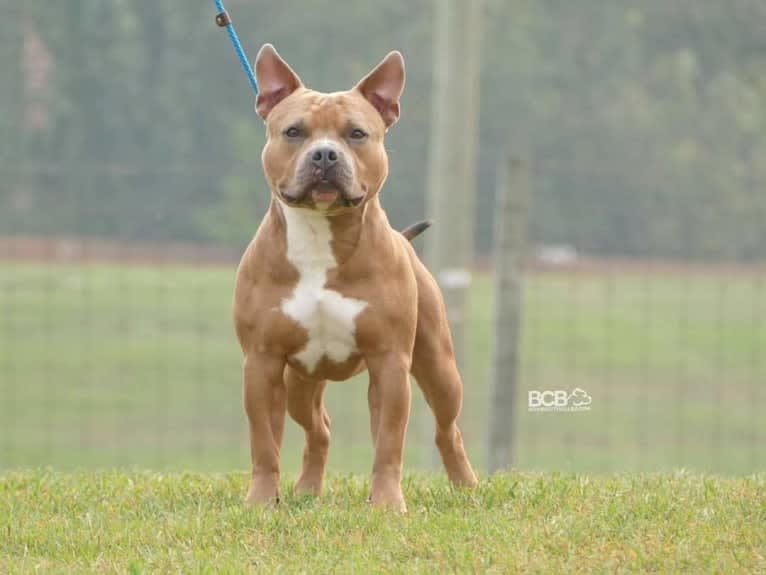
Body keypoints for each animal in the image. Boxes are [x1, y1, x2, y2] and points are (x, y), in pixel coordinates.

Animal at [234, 46, 476, 512]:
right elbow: (262, 442)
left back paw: (466, 487)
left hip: (439, 369)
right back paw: (306, 490)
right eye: (294, 131)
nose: (325, 155)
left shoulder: (390, 362)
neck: (319, 236)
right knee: (319, 429)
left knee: (447, 429)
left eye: (357, 134)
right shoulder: (262, 360)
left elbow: (389, 443)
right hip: (299, 383)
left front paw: (387, 504)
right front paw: (262, 500)